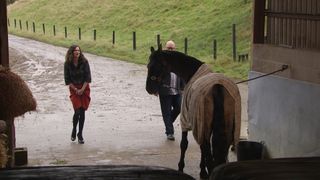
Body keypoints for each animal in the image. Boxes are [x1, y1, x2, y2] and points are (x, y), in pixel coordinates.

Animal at [145, 45, 240, 179]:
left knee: (208, 153)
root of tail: (217, 87)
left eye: (159, 65)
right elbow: (200, 149)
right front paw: (202, 170)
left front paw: (181, 167)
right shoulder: (200, 125)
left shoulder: (187, 119)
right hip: (227, 130)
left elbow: (184, 144)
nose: (149, 88)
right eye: (148, 66)